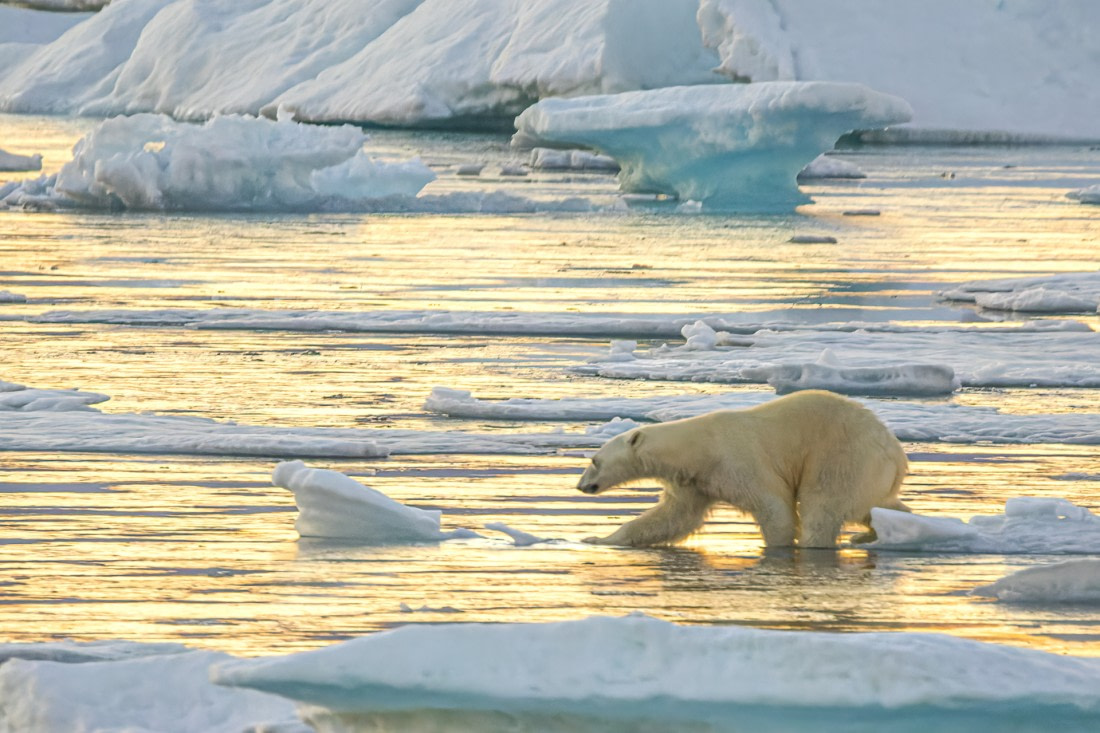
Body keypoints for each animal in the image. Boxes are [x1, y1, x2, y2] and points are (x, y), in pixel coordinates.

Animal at [576, 390, 909, 549]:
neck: (698, 449)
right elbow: (672, 518)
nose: (581, 485)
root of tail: (895, 452)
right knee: (875, 504)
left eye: (594, 460)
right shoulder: (695, 482)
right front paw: (598, 539)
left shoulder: (736, 460)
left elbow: (774, 506)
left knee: (823, 507)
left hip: (843, 456)